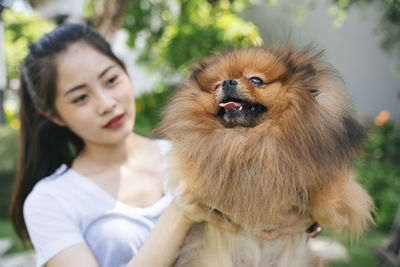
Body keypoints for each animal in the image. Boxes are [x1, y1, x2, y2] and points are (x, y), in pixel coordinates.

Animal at [156, 46, 376, 267]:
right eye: (218, 84)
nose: (227, 82)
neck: (251, 136)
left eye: (256, 80)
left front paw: (333, 213)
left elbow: (326, 193)